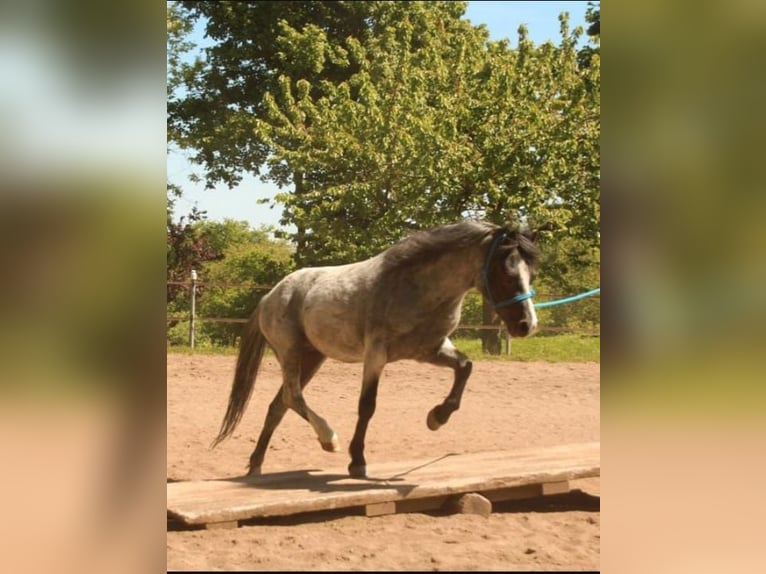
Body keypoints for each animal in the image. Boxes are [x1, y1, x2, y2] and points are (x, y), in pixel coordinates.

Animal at [211, 220, 540, 478]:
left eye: (531, 274)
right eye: (507, 274)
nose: (528, 325)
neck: (417, 288)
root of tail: (270, 296)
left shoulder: (430, 350)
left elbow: (465, 367)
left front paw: (437, 418)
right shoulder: (376, 355)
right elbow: (367, 406)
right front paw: (357, 462)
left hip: (313, 357)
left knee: (279, 405)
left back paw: (256, 467)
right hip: (291, 353)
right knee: (293, 397)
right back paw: (328, 439)